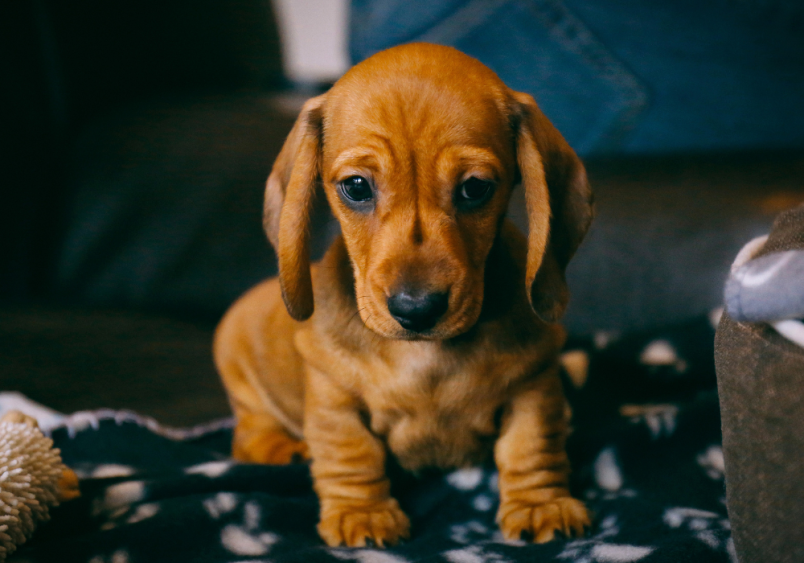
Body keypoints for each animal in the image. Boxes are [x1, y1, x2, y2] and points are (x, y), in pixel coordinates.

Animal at [217, 41, 592, 548]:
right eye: (356, 186)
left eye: (475, 188)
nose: (416, 310)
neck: (425, 357)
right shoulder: (333, 399)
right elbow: (350, 454)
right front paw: (362, 513)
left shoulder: (533, 385)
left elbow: (532, 447)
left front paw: (540, 503)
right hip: (242, 374)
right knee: (249, 433)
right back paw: (284, 449)